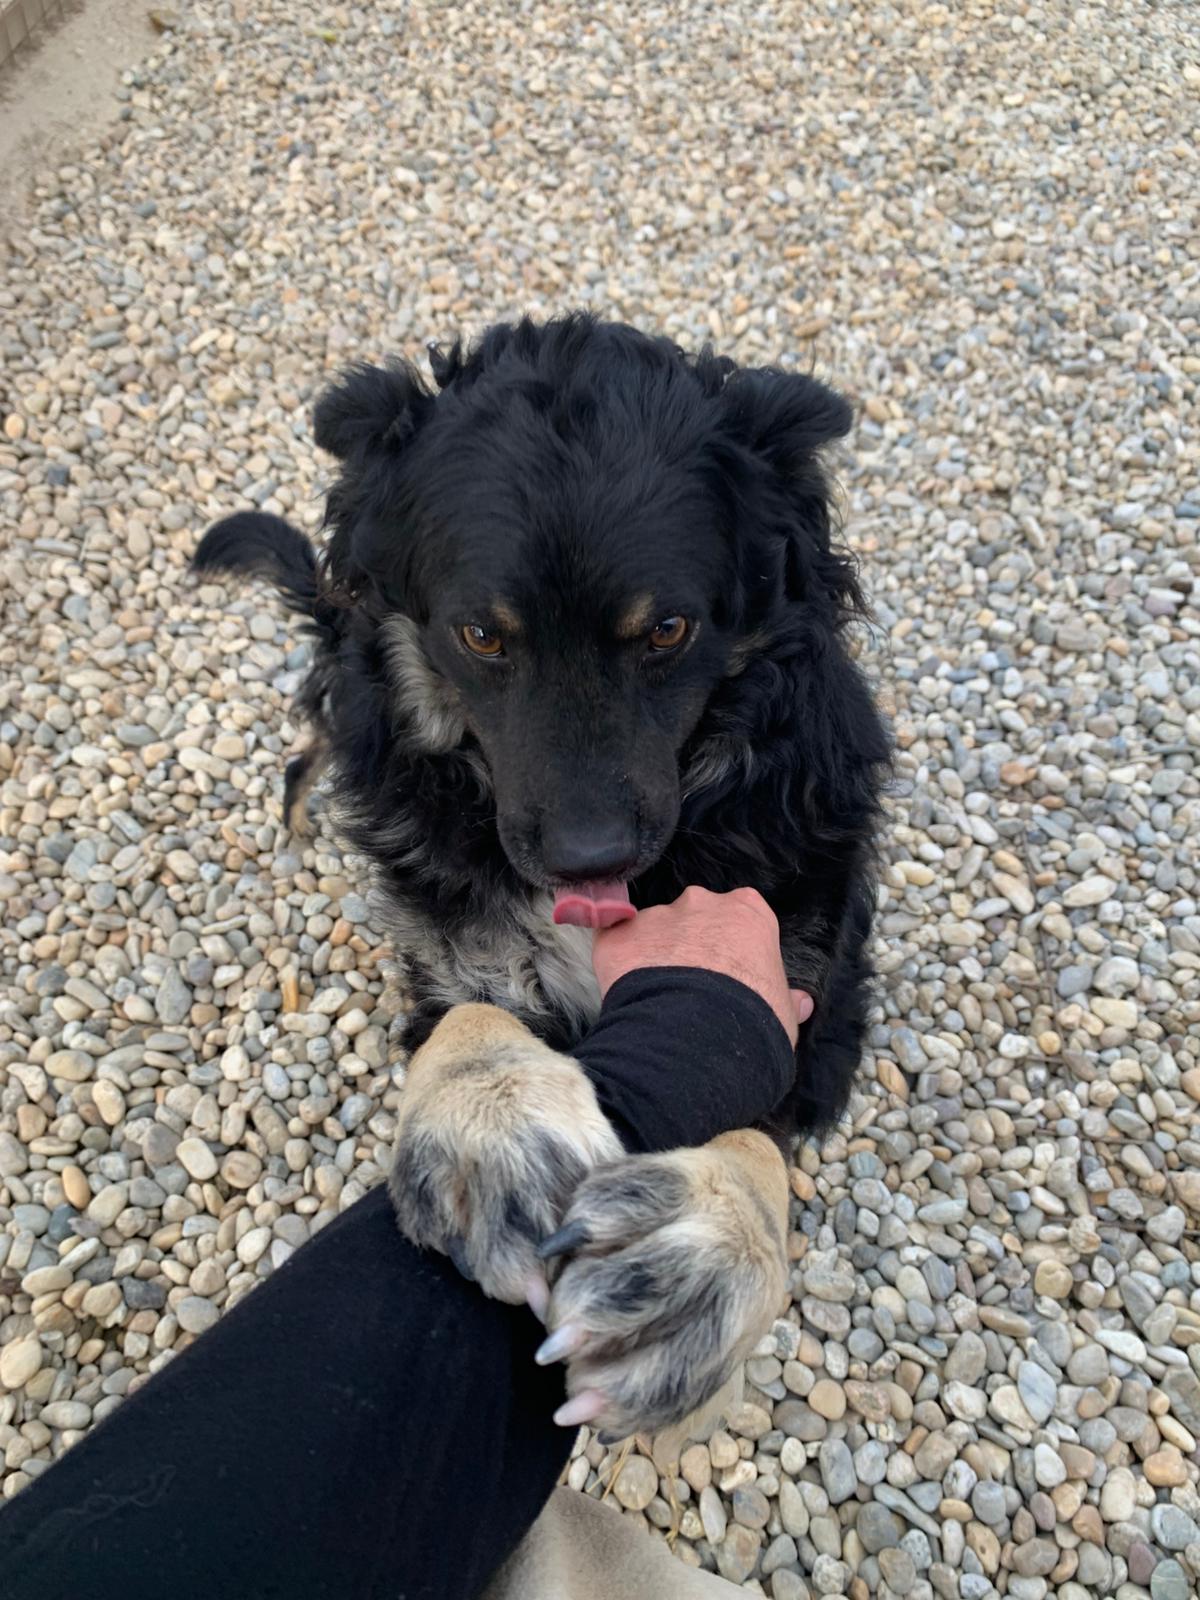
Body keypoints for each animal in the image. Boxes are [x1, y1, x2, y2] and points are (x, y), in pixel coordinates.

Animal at [193, 314, 889, 1438]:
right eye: (482, 634)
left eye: (668, 629)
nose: (587, 859)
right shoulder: (447, 959)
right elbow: (478, 1013)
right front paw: (496, 1129)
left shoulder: (809, 980)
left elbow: (753, 1117)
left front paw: (705, 1245)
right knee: (318, 734)